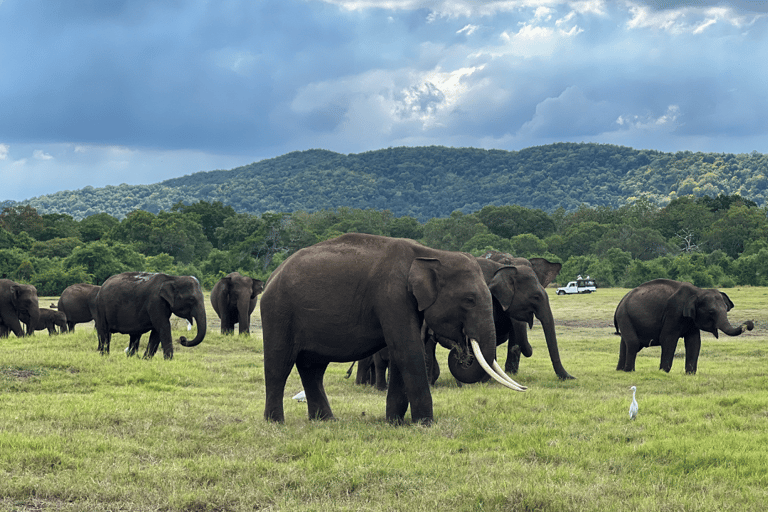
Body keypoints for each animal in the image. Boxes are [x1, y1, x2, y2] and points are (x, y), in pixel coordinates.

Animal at [260, 232, 524, 424]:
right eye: (469, 300)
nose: (462, 351)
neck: (430, 254)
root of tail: (272, 275)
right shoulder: (391, 296)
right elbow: (407, 349)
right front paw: (425, 423)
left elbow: (401, 353)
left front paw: (394, 422)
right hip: (278, 312)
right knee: (279, 365)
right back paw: (276, 422)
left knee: (312, 368)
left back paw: (326, 421)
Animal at [616, 278, 752, 374]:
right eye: (711, 312)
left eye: (726, 308)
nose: (749, 324)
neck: (698, 291)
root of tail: (621, 301)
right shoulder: (674, 312)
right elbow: (668, 339)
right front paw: (663, 372)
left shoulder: (691, 320)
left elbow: (694, 341)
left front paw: (690, 374)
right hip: (624, 315)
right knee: (633, 343)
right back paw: (629, 371)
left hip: (626, 317)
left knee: (625, 343)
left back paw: (621, 370)